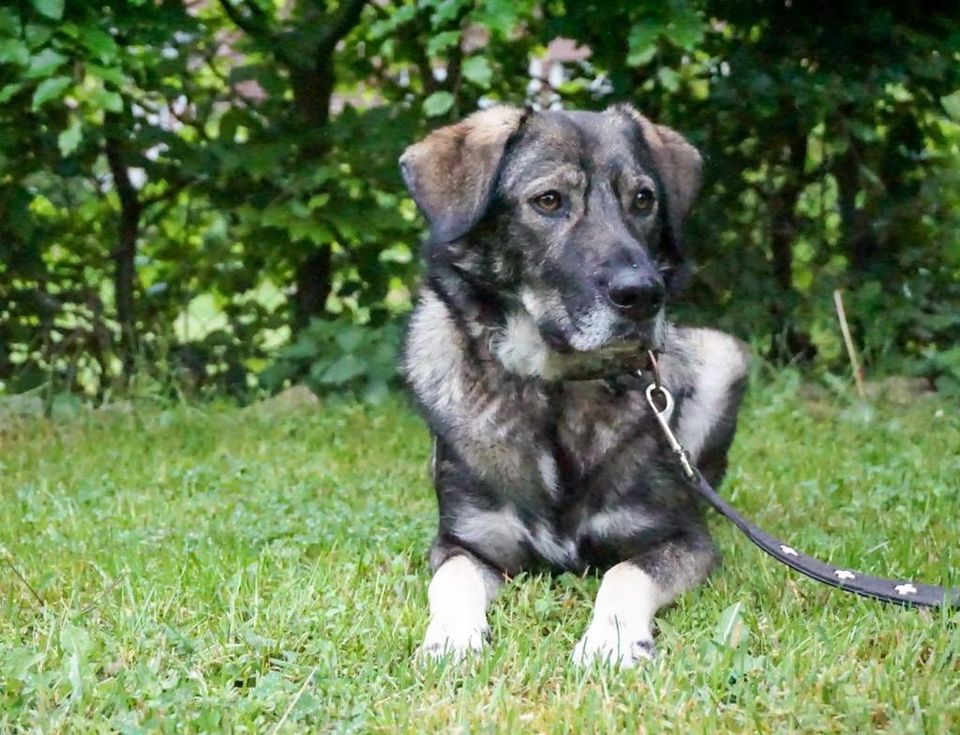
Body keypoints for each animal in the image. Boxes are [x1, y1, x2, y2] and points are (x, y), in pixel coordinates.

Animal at [398, 105, 752, 668]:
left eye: (643, 200)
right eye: (548, 201)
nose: (642, 295)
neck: (556, 391)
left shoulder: (682, 539)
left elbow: (624, 573)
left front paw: (613, 639)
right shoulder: (465, 543)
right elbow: (451, 582)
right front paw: (451, 638)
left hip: (723, 354)